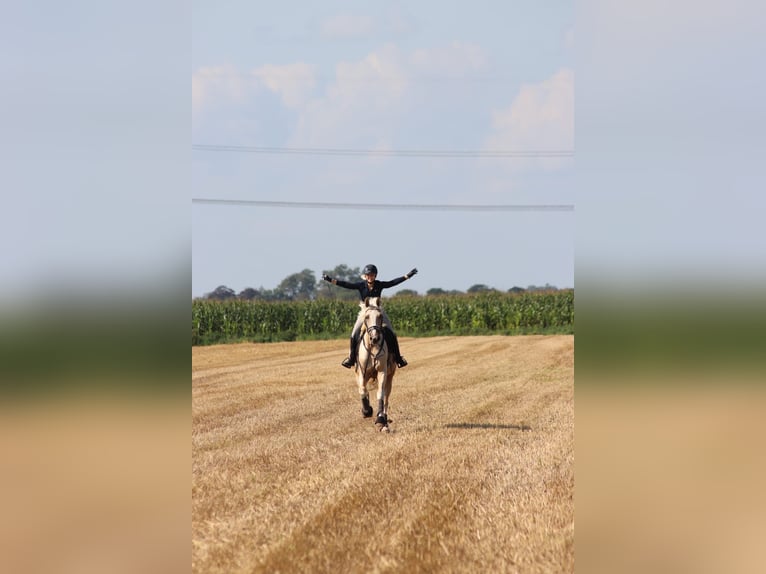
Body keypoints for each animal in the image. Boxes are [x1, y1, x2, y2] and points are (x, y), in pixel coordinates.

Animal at [356, 296, 400, 432]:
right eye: (366, 317)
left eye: (380, 316)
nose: (375, 338)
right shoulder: (361, 373)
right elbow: (363, 390)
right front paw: (366, 411)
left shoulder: (382, 372)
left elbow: (380, 393)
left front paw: (380, 420)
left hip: (390, 377)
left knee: (386, 397)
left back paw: (384, 420)